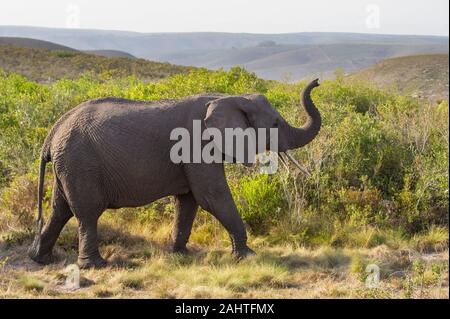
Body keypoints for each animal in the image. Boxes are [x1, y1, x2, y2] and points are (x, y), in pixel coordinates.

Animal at [28, 79, 322, 268]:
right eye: (275, 124)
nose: (317, 82)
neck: (228, 97)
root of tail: (52, 133)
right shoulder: (198, 145)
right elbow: (212, 196)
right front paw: (248, 256)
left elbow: (189, 201)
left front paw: (180, 255)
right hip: (80, 164)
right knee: (87, 213)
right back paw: (95, 266)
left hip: (68, 164)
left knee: (60, 209)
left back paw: (40, 259)